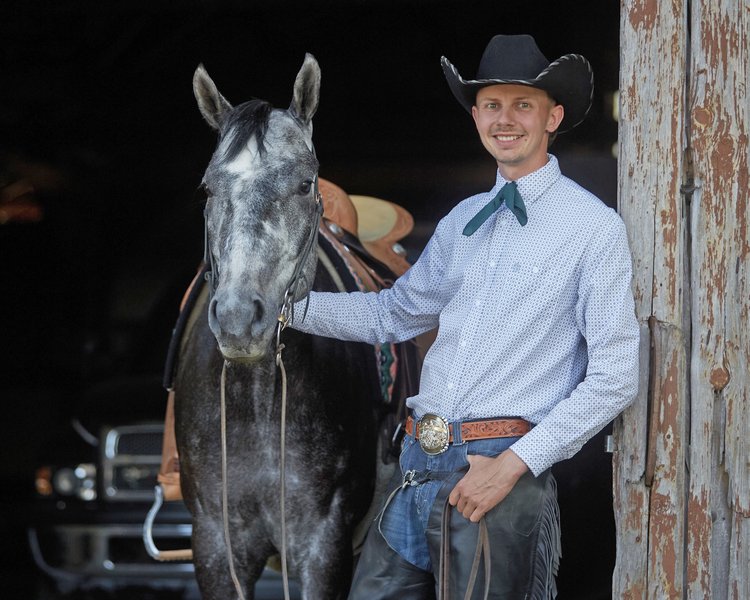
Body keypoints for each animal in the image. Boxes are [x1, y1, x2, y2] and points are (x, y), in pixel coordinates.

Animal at [174, 55, 399, 599]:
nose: (239, 319)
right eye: (208, 188)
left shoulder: (323, 546)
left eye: (304, 184)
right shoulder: (215, 545)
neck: (257, 397)